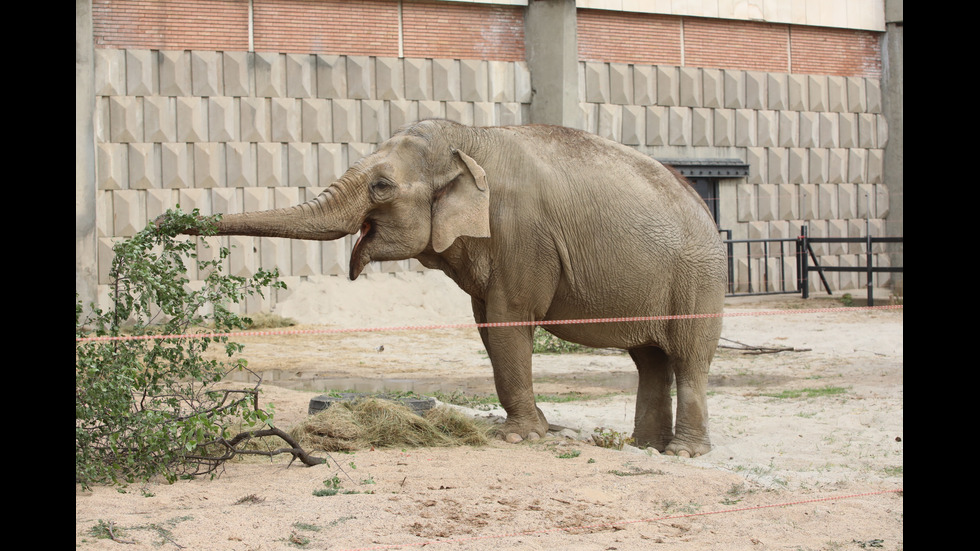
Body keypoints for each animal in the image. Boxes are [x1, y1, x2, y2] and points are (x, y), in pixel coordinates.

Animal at [193, 119, 728, 458]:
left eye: (381, 186)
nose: (174, 223)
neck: (470, 138)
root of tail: (704, 208)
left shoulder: (523, 235)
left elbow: (510, 319)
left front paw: (518, 439)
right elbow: (488, 328)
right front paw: (534, 429)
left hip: (699, 279)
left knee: (687, 357)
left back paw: (682, 453)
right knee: (650, 359)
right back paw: (645, 447)